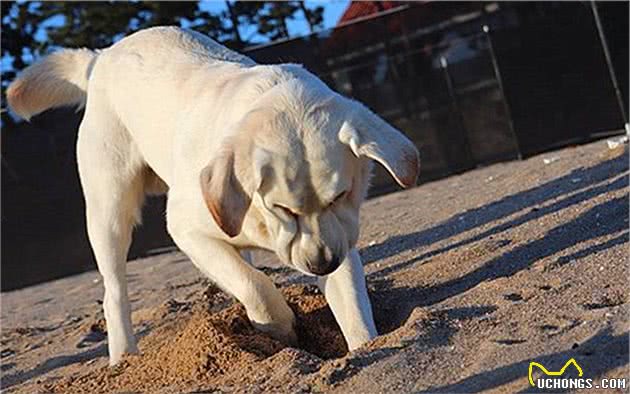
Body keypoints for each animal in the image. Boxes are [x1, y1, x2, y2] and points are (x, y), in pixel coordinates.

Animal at [8, 26, 420, 366]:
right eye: (281, 207)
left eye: (341, 195)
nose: (321, 264)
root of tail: (103, 55)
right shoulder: (186, 228)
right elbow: (255, 286)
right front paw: (279, 326)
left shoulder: (339, 237)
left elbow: (352, 306)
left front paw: (365, 346)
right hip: (109, 209)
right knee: (115, 291)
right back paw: (123, 356)